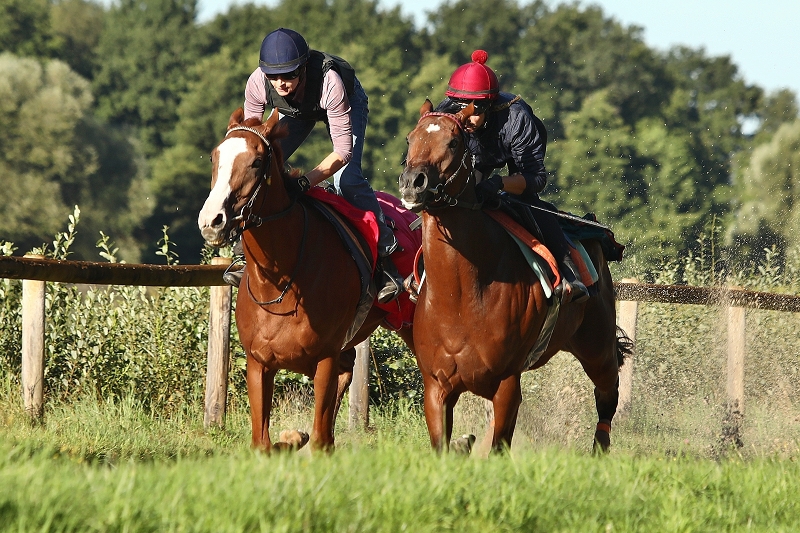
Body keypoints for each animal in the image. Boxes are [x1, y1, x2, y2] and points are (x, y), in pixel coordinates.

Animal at [198, 108, 416, 452]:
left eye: (256, 162)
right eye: (214, 157)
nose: (211, 221)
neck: (281, 283)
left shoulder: (324, 358)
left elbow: (320, 440)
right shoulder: (258, 363)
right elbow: (263, 442)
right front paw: (288, 439)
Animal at [398, 100, 631, 454]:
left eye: (453, 142)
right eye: (411, 139)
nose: (413, 182)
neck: (461, 297)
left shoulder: (506, 385)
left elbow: (498, 447)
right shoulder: (437, 387)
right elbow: (442, 446)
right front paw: (462, 444)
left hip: (597, 344)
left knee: (607, 393)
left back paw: (600, 448)